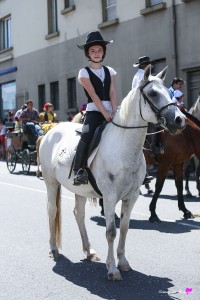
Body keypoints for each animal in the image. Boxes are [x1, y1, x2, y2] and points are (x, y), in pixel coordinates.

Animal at [39, 64, 186, 280]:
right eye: (152, 93)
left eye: (169, 92)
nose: (180, 120)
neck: (125, 147)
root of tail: (49, 131)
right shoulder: (109, 197)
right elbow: (111, 232)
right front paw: (113, 269)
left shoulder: (131, 197)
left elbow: (124, 229)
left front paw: (123, 262)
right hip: (51, 183)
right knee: (52, 211)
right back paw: (53, 249)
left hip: (79, 190)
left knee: (78, 214)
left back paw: (89, 250)